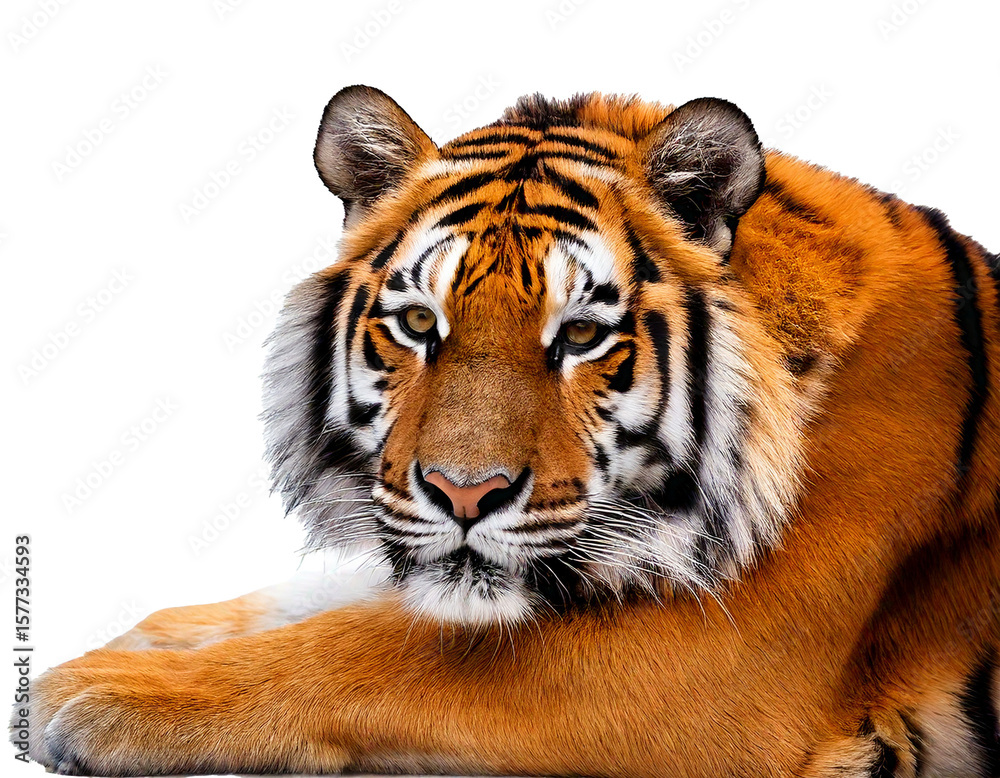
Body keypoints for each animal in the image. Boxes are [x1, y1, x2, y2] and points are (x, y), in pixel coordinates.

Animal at [16, 85, 1000, 777]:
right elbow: (344, 599)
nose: (464, 493)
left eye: (581, 336)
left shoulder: (708, 661)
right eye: (420, 324)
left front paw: (97, 690)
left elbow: (372, 650)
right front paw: (144, 638)